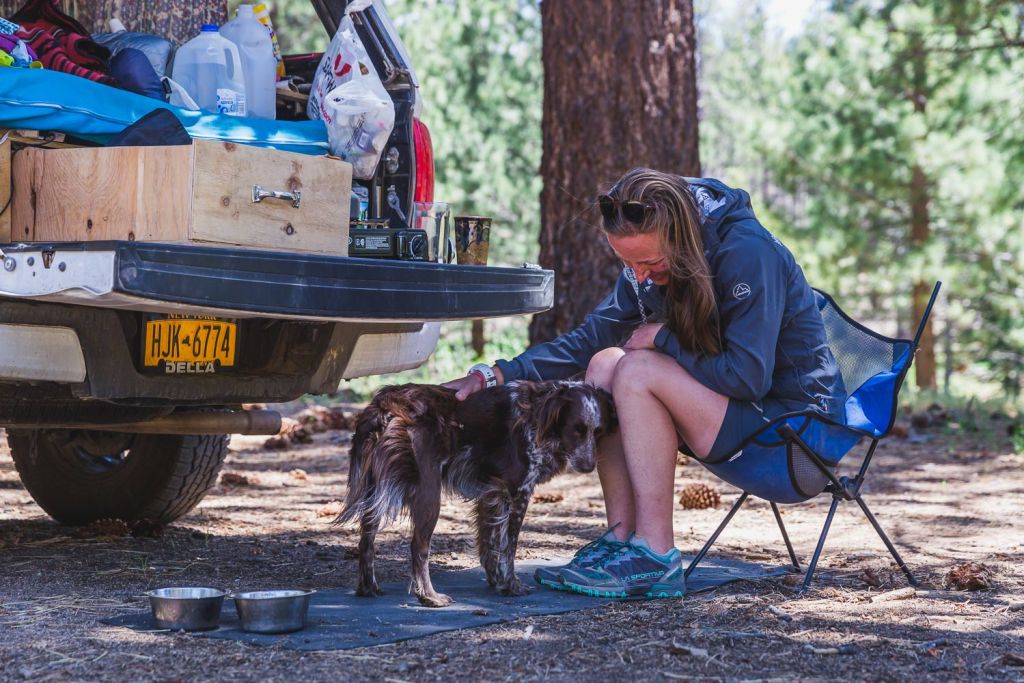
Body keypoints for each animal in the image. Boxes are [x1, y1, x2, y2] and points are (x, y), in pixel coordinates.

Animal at [333, 378, 614, 610]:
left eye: (598, 431)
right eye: (576, 429)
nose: (589, 466)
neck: (539, 414)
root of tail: (385, 404)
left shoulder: (493, 494)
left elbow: (490, 543)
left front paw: (497, 582)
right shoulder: (518, 491)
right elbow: (509, 547)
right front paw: (511, 586)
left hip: (373, 490)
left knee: (366, 542)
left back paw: (369, 588)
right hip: (428, 493)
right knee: (418, 547)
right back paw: (430, 597)